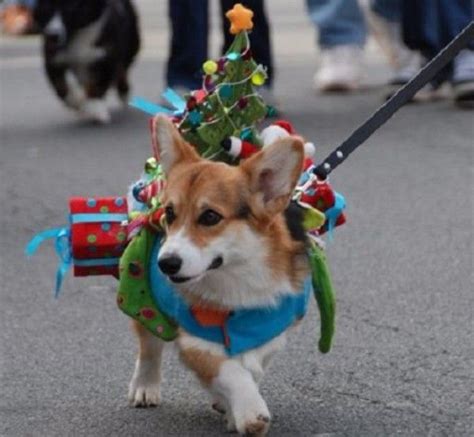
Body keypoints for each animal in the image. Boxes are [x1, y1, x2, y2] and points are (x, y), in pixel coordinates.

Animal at [128, 114, 310, 434]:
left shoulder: (272, 332)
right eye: (170, 213)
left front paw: (232, 406)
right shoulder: (195, 341)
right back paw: (145, 387)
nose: (165, 264)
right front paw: (250, 411)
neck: (237, 278)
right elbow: (229, 372)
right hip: (145, 301)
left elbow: (251, 368)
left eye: (210, 216)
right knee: (149, 345)